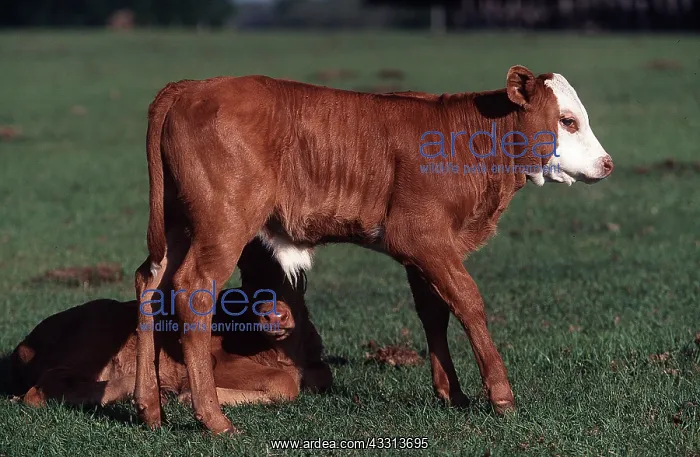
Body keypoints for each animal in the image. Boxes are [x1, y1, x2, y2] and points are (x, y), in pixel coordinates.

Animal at [133, 65, 613, 434]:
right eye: (567, 120)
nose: (607, 164)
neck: (469, 140)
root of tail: (191, 86)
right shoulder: (422, 237)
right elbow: (468, 302)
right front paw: (500, 395)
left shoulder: (423, 252)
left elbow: (435, 313)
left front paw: (452, 393)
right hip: (223, 225)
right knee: (192, 290)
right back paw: (213, 418)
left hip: (178, 226)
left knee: (151, 285)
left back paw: (150, 409)